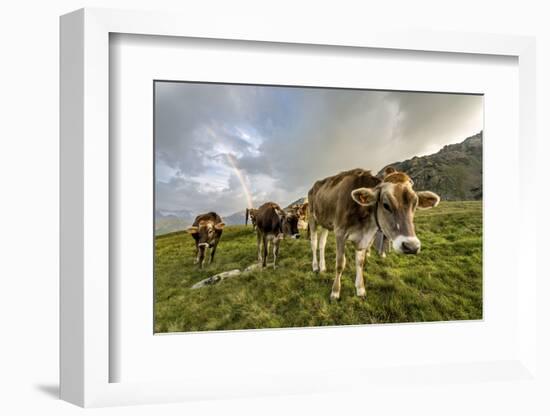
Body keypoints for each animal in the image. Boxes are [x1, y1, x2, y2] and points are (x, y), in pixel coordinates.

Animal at [308, 167, 442, 300]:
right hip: (313, 219)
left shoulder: (365, 237)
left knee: (322, 244)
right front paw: (335, 292)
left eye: (415, 204)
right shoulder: (340, 232)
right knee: (314, 244)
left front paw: (360, 289)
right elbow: (340, 264)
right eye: (386, 205)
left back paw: (323, 267)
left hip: (325, 223)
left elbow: (360, 262)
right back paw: (315, 266)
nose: (411, 246)